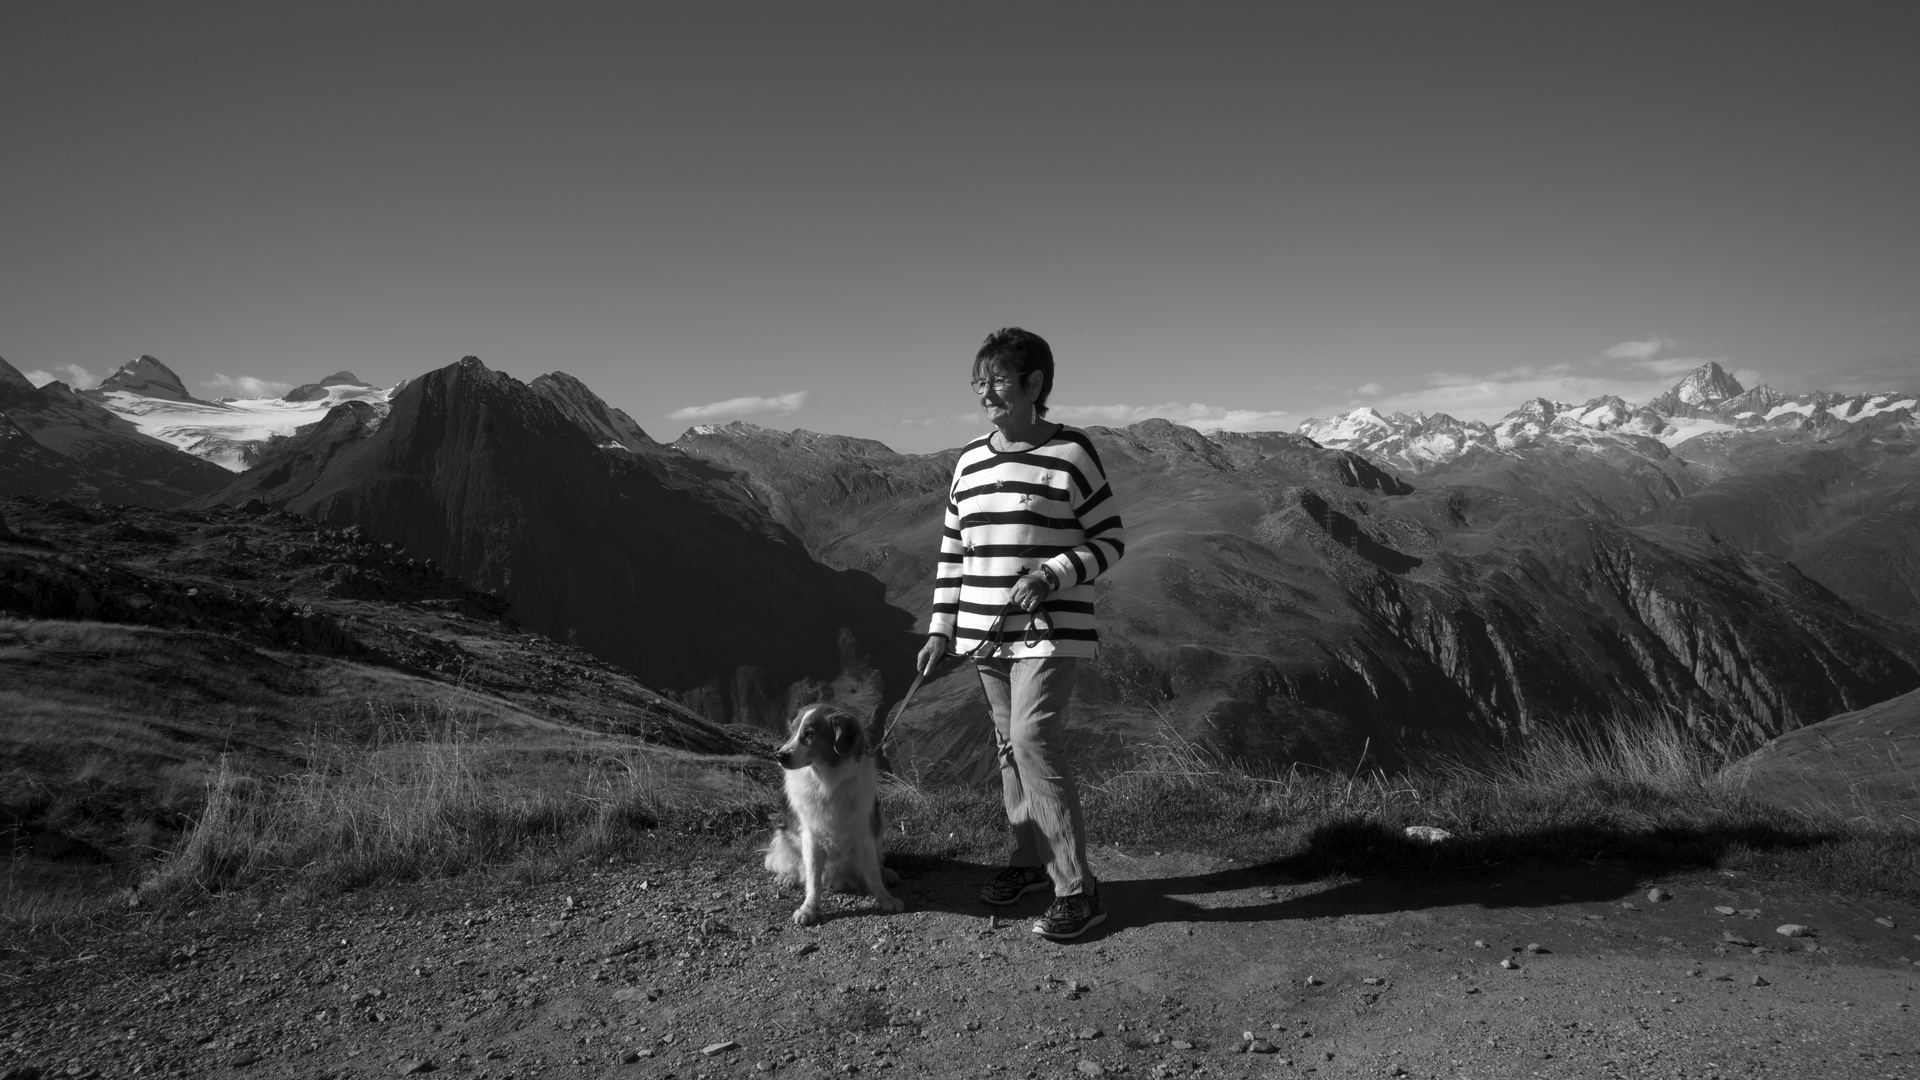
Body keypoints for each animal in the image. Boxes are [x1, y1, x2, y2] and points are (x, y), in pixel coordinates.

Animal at [760, 703, 902, 922]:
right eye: (791, 732)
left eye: (809, 734)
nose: (779, 756)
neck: (827, 782)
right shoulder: (810, 836)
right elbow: (813, 877)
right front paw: (808, 909)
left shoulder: (864, 833)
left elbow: (872, 872)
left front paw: (886, 898)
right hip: (783, 835)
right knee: (792, 864)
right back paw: (788, 878)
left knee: (878, 861)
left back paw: (887, 873)